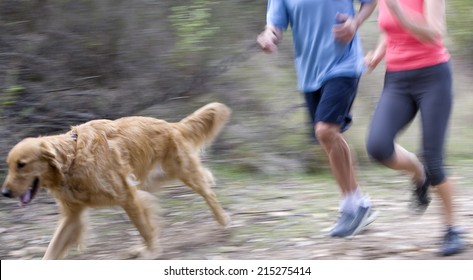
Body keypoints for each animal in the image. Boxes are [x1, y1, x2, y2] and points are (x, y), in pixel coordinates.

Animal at [0, 101, 231, 260]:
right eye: (10, 165)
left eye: (22, 164)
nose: (5, 193)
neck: (72, 159)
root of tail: (173, 125)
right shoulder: (73, 215)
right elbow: (51, 250)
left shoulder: (127, 196)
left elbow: (144, 229)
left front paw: (152, 252)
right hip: (152, 180)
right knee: (202, 179)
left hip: (182, 172)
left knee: (208, 192)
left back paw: (223, 220)